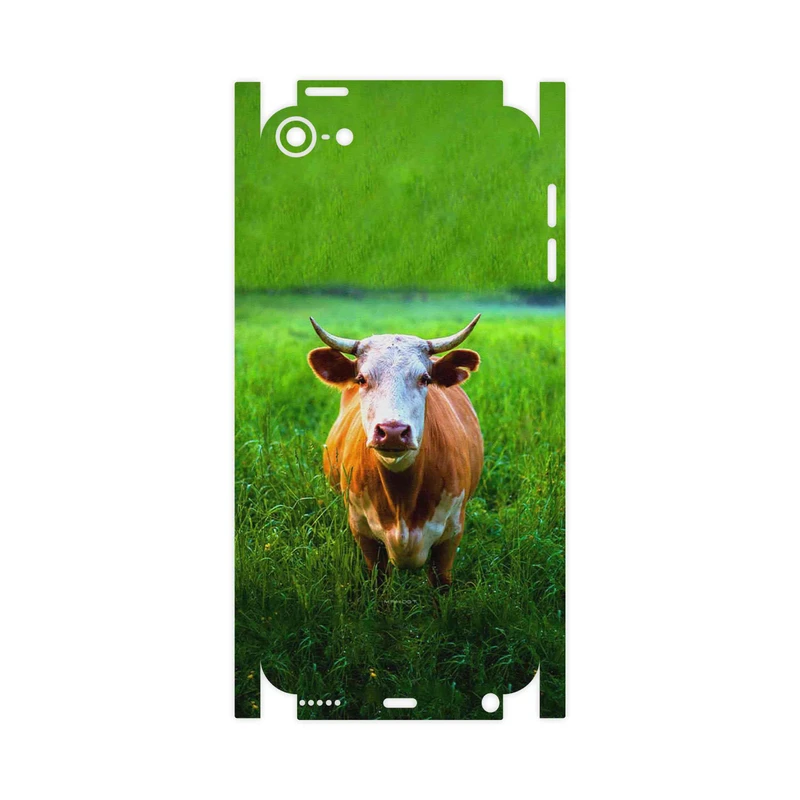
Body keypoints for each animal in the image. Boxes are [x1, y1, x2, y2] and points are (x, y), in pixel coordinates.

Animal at [307, 315, 484, 589]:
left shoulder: (451, 535)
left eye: (425, 379)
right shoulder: (363, 533)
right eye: (361, 379)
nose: (392, 431)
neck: (403, 500)